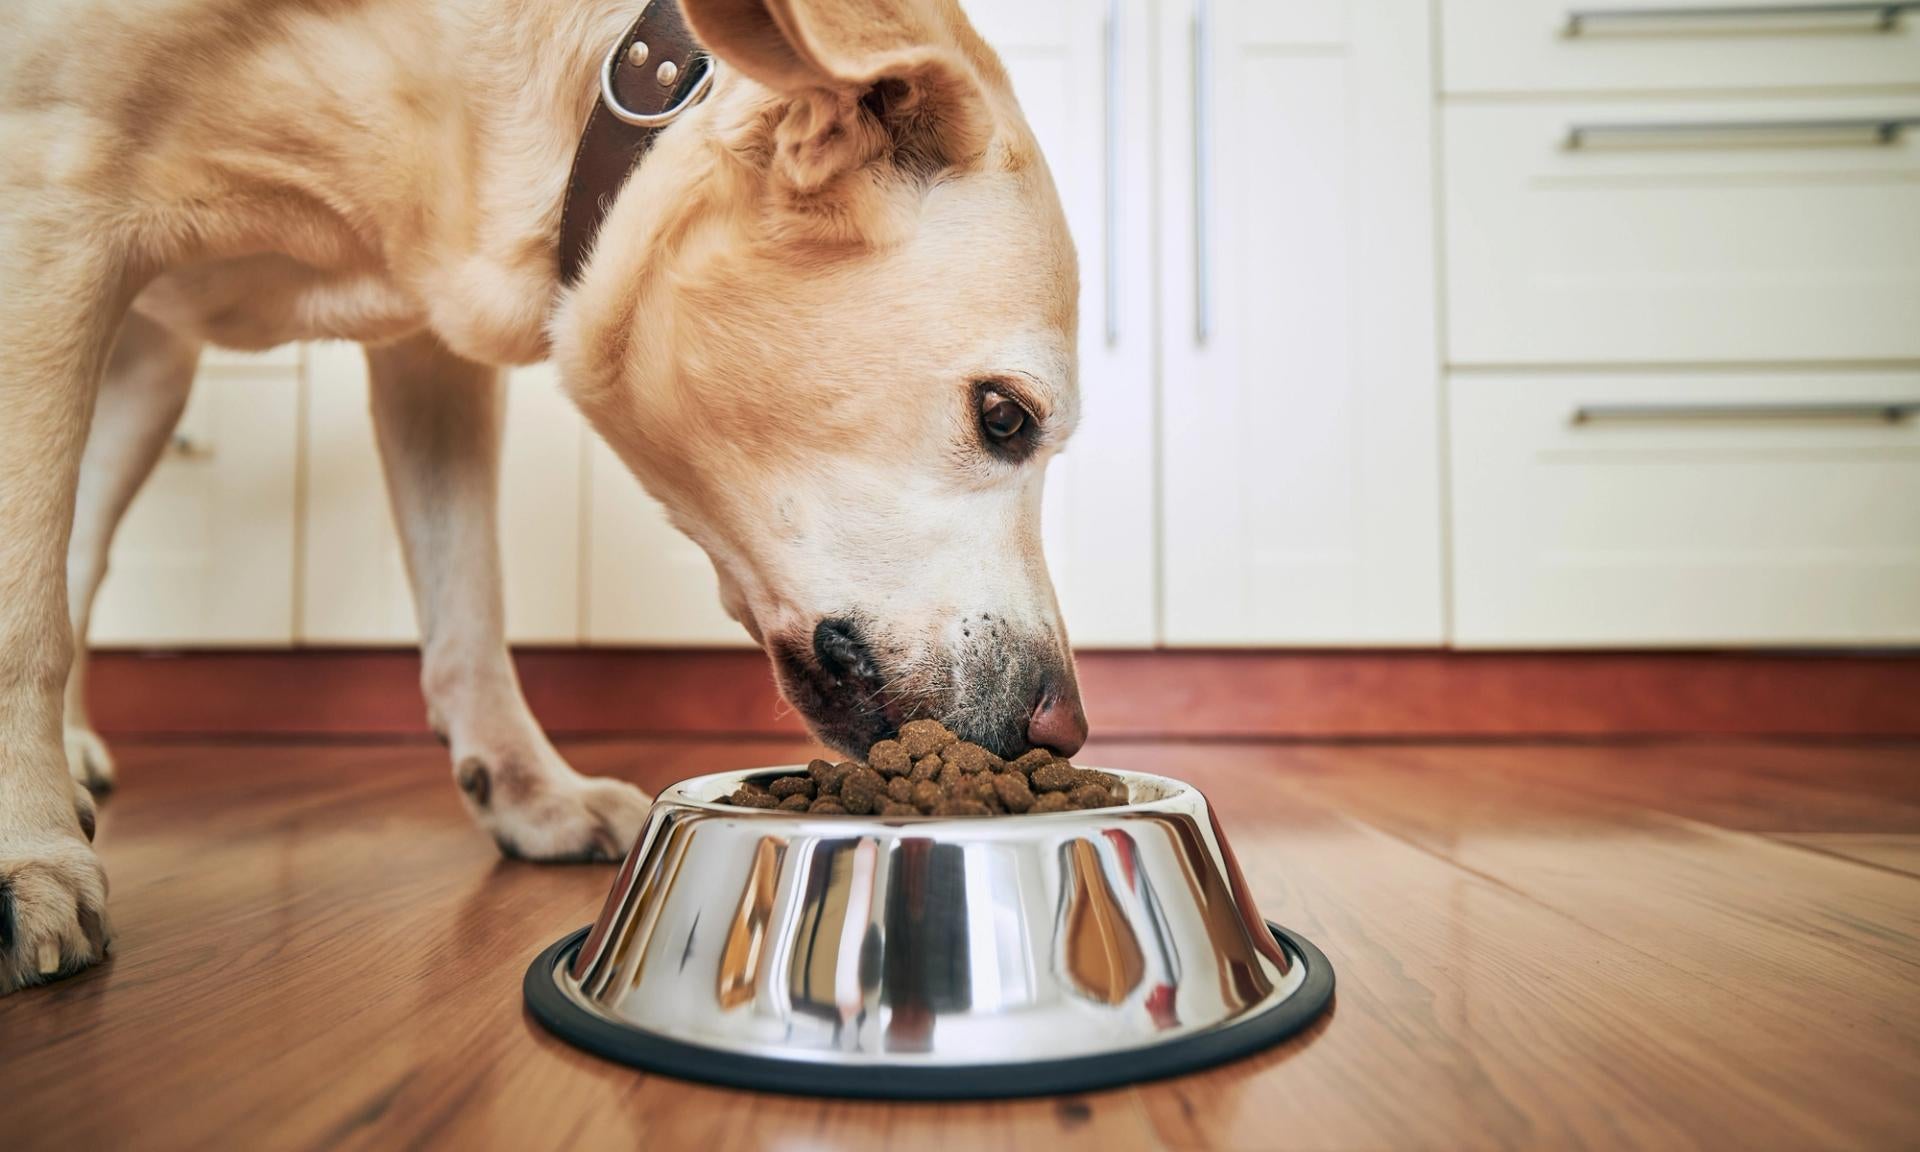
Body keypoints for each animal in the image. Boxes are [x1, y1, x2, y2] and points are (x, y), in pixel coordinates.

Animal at [0, 0, 1082, 990]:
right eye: (1006, 417)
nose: (1065, 729)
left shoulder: (430, 349)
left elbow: (470, 607)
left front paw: (526, 791)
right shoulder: (46, 207)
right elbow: (21, 608)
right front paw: (28, 856)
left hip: (147, 375)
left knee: (84, 547)